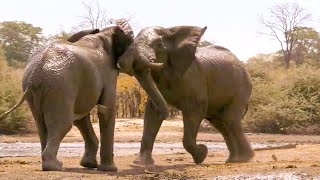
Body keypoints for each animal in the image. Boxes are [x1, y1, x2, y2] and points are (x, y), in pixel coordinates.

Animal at [0, 25, 138, 172]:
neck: (103, 33)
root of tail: (37, 69)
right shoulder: (108, 73)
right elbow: (107, 109)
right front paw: (109, 170)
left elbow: (82, 118)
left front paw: (89, 165)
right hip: (60, 85)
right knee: (63, 124)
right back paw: (54, 166)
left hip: (37, 87)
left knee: (42, 125)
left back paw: (52, 163)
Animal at [116, 25, 254, 166]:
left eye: (158, 44)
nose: (165, 115)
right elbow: (151, 114)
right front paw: (141, 164)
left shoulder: (194, 79)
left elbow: (194, 110)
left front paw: (202, 154)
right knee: (220, 123)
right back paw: (234, 159)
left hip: (241, 88)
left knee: (230, 120)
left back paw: (242, 159)